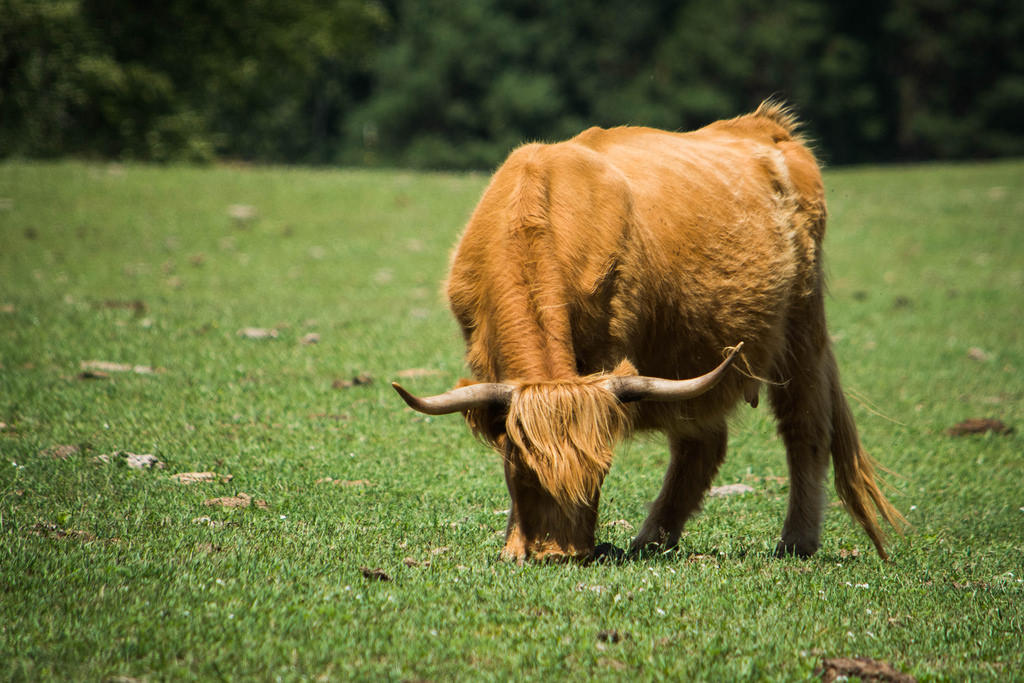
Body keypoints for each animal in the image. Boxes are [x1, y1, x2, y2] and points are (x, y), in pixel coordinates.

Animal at [391, 100, 905, 561]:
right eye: (523, 471)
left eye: (601, 473)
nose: (561, 555)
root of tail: (765, 126)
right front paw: (514, 546)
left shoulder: (607, 350)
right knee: (702, 444)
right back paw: (653, 539)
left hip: (802, 328)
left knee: (805, 427)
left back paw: (796, 541)